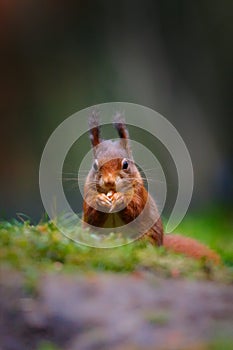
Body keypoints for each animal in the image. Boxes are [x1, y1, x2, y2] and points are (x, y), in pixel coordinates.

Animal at [83, 113, 220, 264]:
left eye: (125, 164)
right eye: (95, 166)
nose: (109, 182)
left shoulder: (140, 192)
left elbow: (136, 208)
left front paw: (121, 199)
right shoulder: (87, 193)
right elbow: (90, 215)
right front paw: (100, 201)